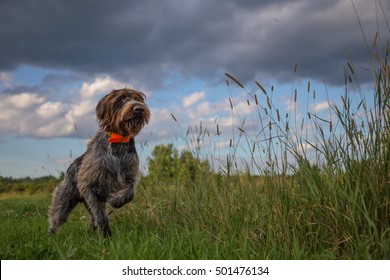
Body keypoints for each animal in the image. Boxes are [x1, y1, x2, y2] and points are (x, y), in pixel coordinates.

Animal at [48, 88, 151, 237]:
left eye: (138, 99)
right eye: (121, 99)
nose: (139, 109)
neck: (118, 142)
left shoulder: (129, 175)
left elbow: (129, 192)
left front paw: (116, 200)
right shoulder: (88, 186)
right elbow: (100, 215)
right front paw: (105, 234)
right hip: (64, 199)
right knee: (57, 217)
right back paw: (51, 235)